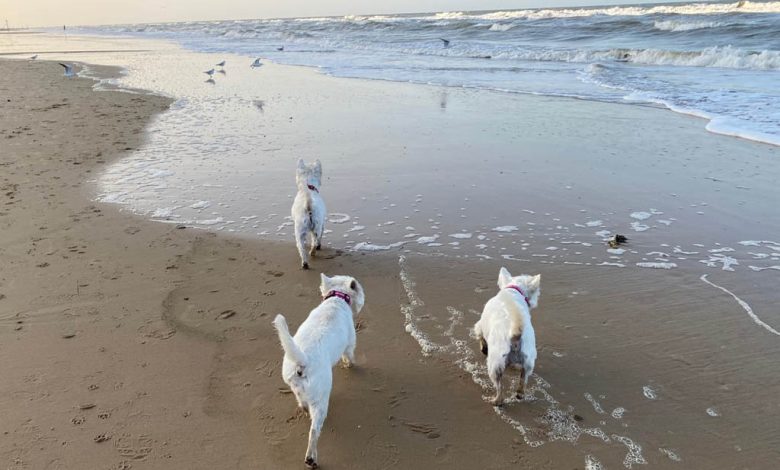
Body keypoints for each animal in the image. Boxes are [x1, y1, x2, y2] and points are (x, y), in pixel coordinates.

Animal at [272, 274, 366, 468]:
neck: (337, 299)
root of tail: (303, 362)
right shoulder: (350, 342)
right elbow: (350, 355)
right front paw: (350, 365)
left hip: (296, 386)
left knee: (302, 403)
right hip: (321, 397)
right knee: (314, 431)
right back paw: (311, 458)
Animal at [472, 266, 540, 406]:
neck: (513, 290)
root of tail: (515, 335)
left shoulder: (480, 325)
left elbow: (480, 337)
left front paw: (483, 348)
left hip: (495, 364)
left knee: (500, 388)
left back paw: (496, 401)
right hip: (528, 361)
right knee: (523, 379)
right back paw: (519, 394)